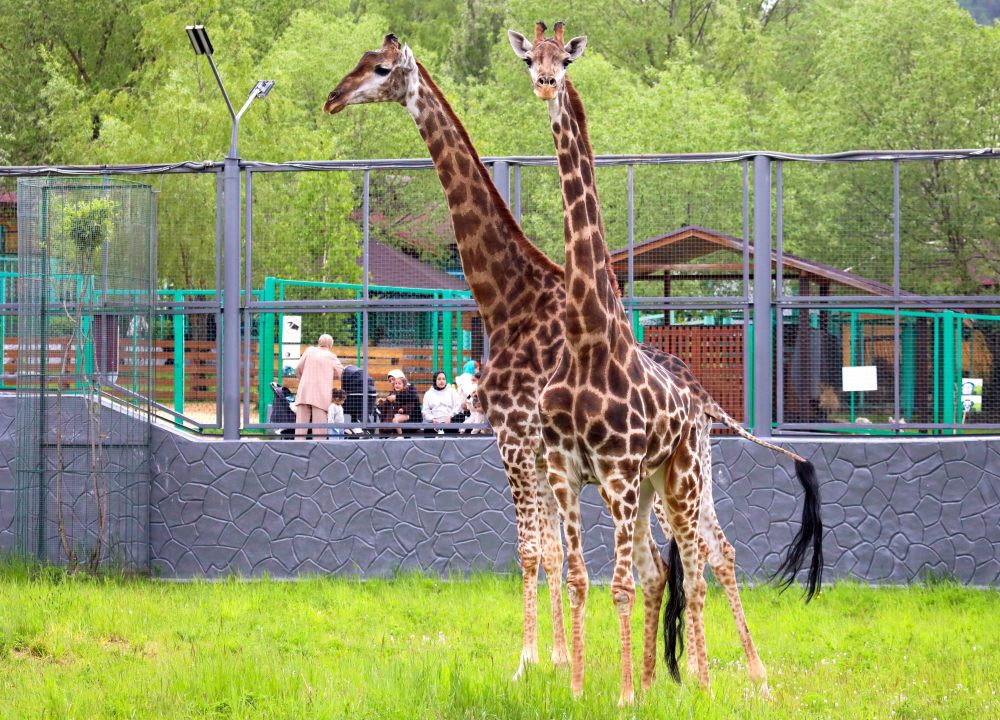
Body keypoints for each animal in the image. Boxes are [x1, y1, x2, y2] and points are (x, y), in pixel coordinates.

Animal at [512, 23, 824, 704]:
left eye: (563, 60)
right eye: (528, 59)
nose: (545, 84)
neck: (587, 338)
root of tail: (700, 404)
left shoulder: (618, 470)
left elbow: (621, 583)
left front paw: (626, 695)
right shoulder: (567, 470)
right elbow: (579, 576)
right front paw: (578, 688)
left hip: (678, 477)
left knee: (703, 561)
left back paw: (707, 681)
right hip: (652, 485)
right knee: (668, 565)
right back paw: (669, 678)